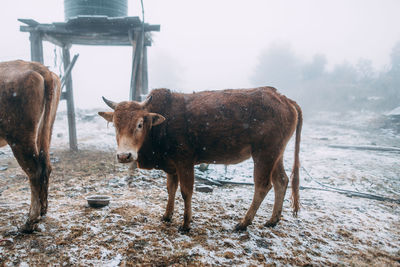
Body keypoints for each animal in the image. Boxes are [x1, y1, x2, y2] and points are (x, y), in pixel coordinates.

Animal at [0, 59, 61, 233]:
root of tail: (39, 68)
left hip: (20, 137)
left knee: (35, 171)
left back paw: (31, 220)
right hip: (46, 130)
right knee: (46, 166)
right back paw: (43, 210)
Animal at [98, 87, 302, 232]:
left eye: (140, 124)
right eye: (115, 125)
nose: (124, 156)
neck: (162, 125)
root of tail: (284, 98)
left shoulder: (185, 161)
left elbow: (186, 191)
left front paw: (186, 224)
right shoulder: (171, 166)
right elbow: (170, 189)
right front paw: (167, 215)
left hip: (264, 154)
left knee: (263, 185)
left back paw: (244, 223)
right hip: (276, 154)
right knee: (281, 181)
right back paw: (272, 220)